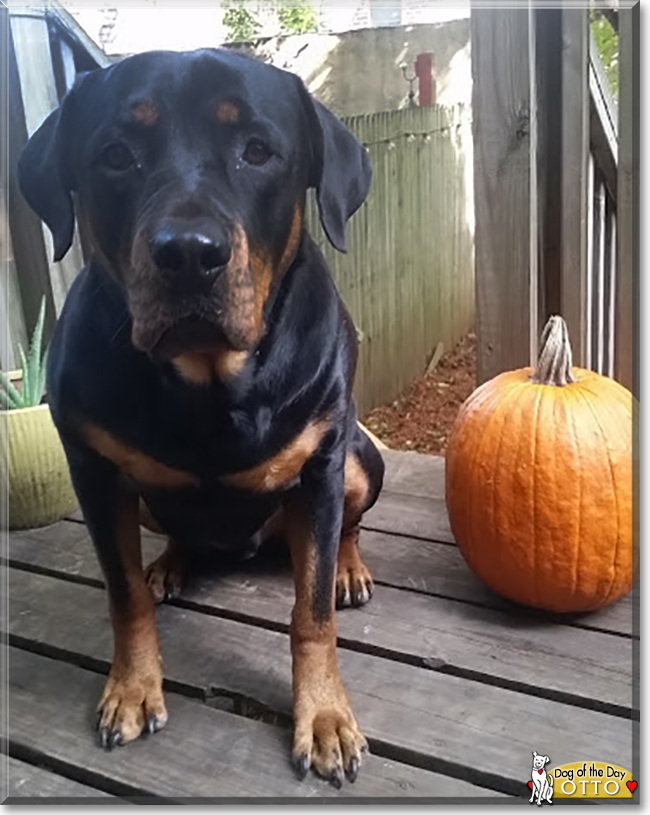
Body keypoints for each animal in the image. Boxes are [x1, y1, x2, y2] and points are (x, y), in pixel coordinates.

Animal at [17, 49, 384, 784]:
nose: (188, 251)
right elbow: (123, 593)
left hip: (362, 459)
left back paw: (348, 566)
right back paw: (169, 564)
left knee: (345, 530)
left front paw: (325, 716)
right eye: (116, 154)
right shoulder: (93, 468)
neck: (210, 381)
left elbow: (312, 613)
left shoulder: (323, 462)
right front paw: (132, 688)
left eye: (258, 150)